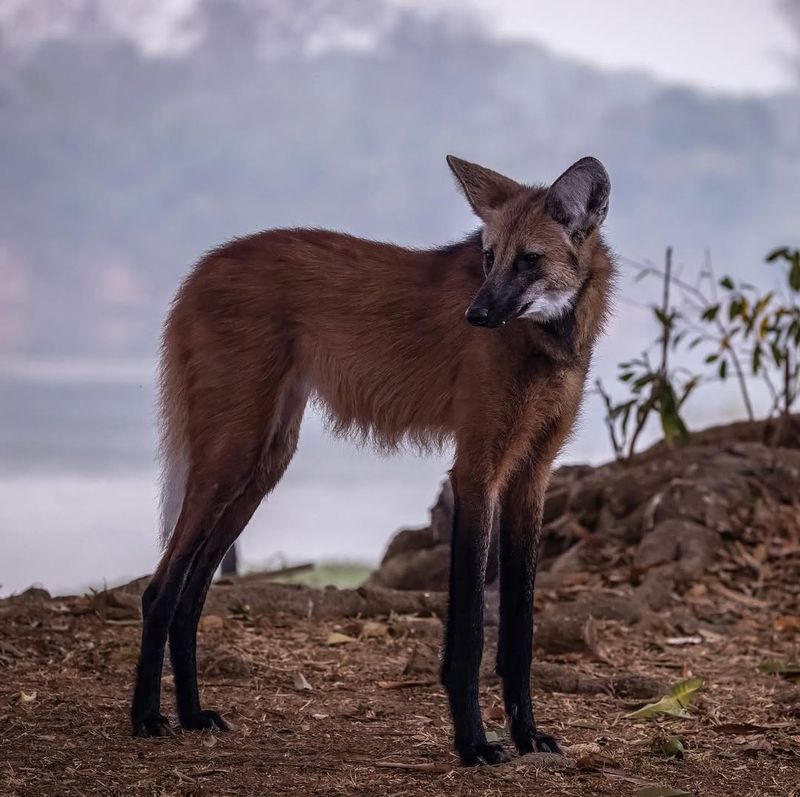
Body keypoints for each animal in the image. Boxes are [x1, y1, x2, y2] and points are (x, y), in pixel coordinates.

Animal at [134, 154, 616, 764]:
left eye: (530, 259)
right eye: (489, 257)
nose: (476, 314)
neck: (545, 339)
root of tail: (203, 264)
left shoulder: (532, 476)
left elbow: (519, 631)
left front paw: (528, 737)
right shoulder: (476, 470)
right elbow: (471, 631)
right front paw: (474, 745)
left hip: (264, 463)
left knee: (193, 593)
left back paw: (194, 715)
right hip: (233, 454)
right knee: (159, 589)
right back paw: (147, 717)